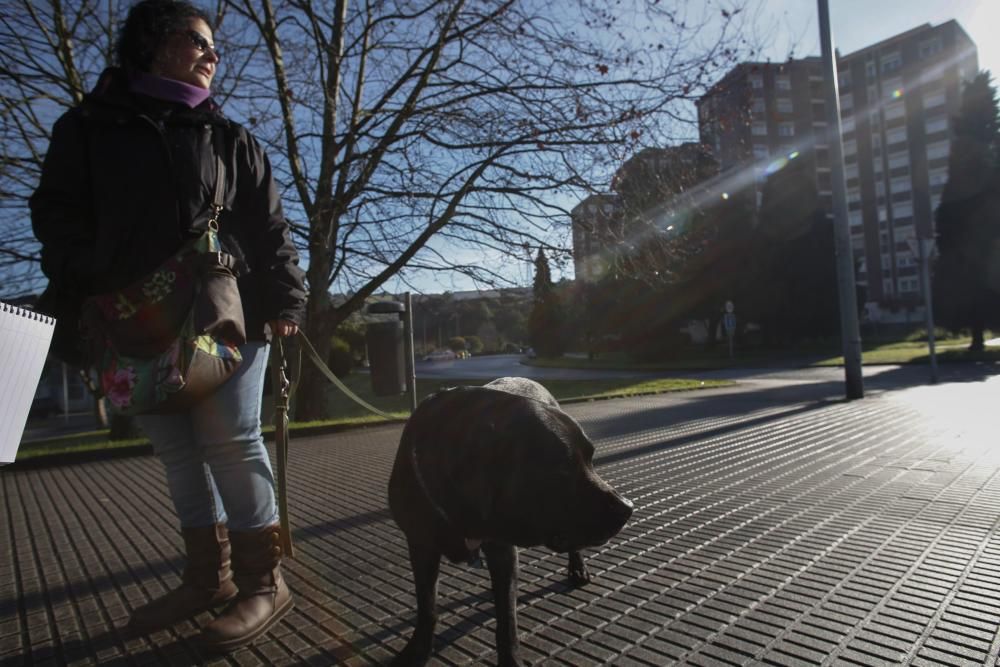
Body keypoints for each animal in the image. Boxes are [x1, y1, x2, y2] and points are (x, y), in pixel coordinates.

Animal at [386, 378, 628, 664]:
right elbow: (426, 606)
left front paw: (510, 658)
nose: (627, 508)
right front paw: (418, 649)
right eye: (562, 467)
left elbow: (506, 619)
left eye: (590, 459)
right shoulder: (420, 545)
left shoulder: (503, 551)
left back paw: (577, 568)